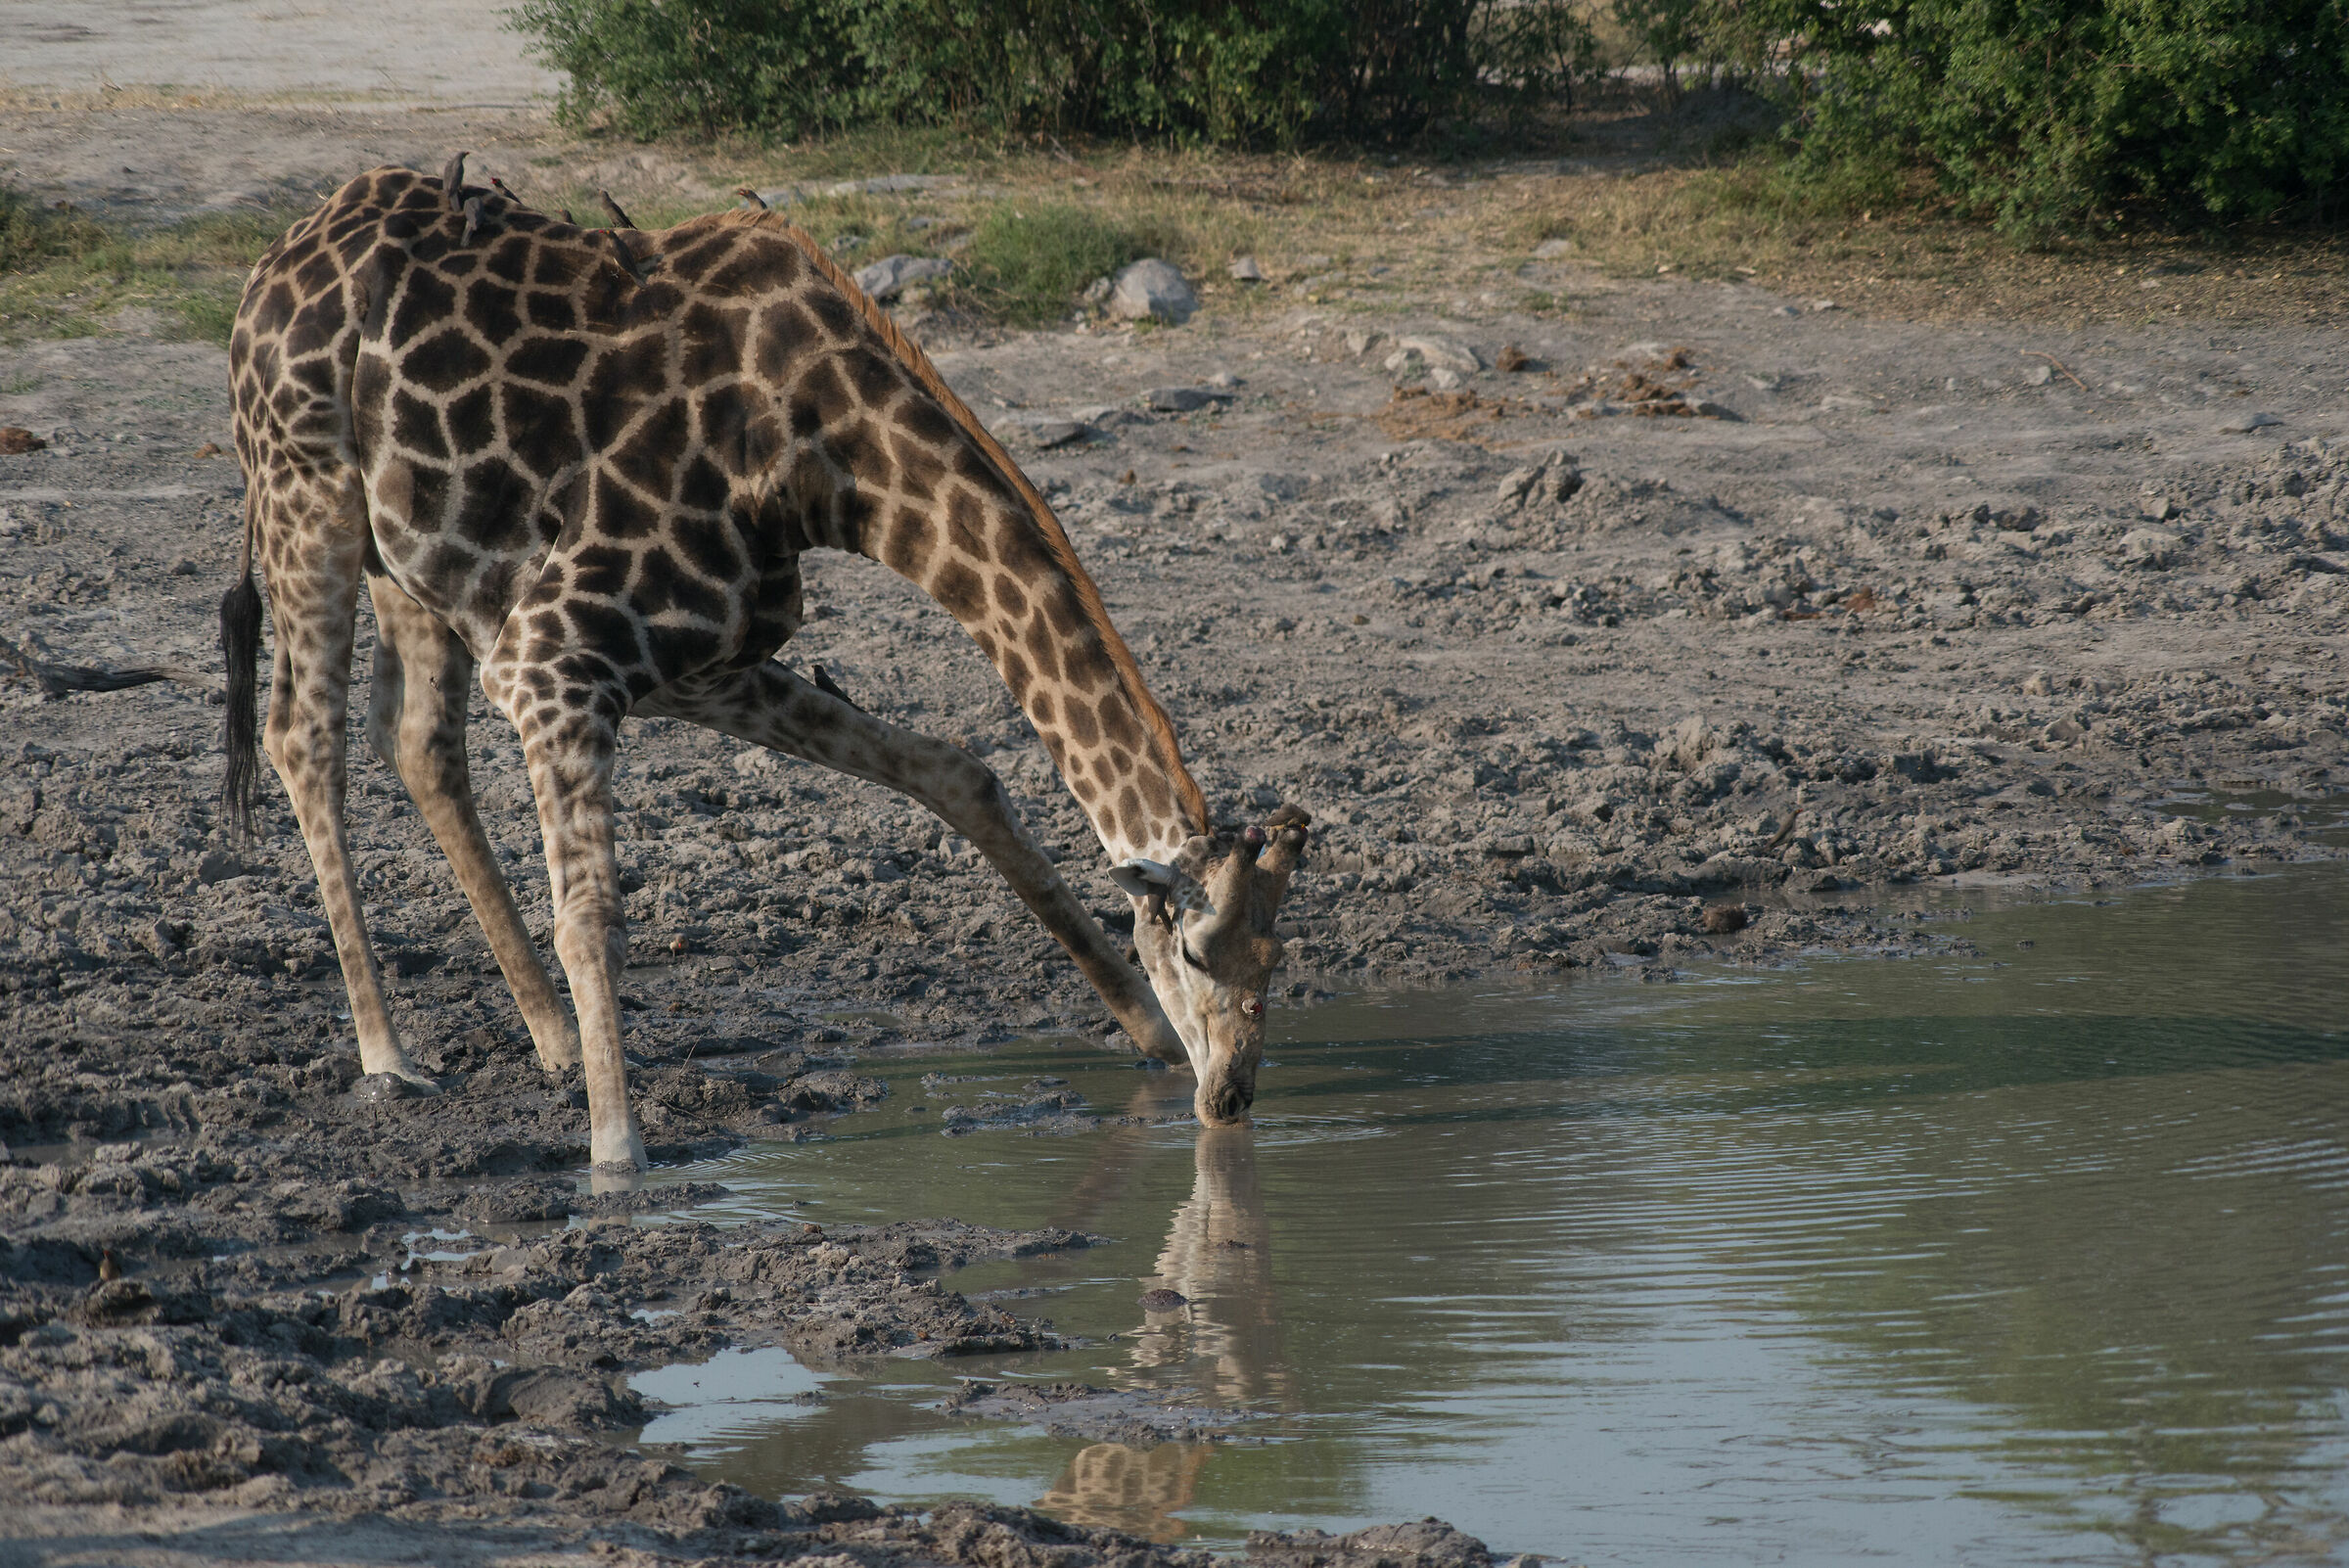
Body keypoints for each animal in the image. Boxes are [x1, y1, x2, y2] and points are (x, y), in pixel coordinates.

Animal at [220, 158, 1312, 1173]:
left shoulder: (704, 665)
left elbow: (956, 773)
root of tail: (277, 256)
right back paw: (389, 1057)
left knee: (413, 738)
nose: (1231, 1096)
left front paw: (1143, 1029)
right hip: (306, 491)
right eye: (1195, 947)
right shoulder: (556, 659)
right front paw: (618, 1156)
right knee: (303, 739)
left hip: (409, 557)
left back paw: (555, 1040)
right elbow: (592, 915)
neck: (828, 459)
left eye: (1279, 955)